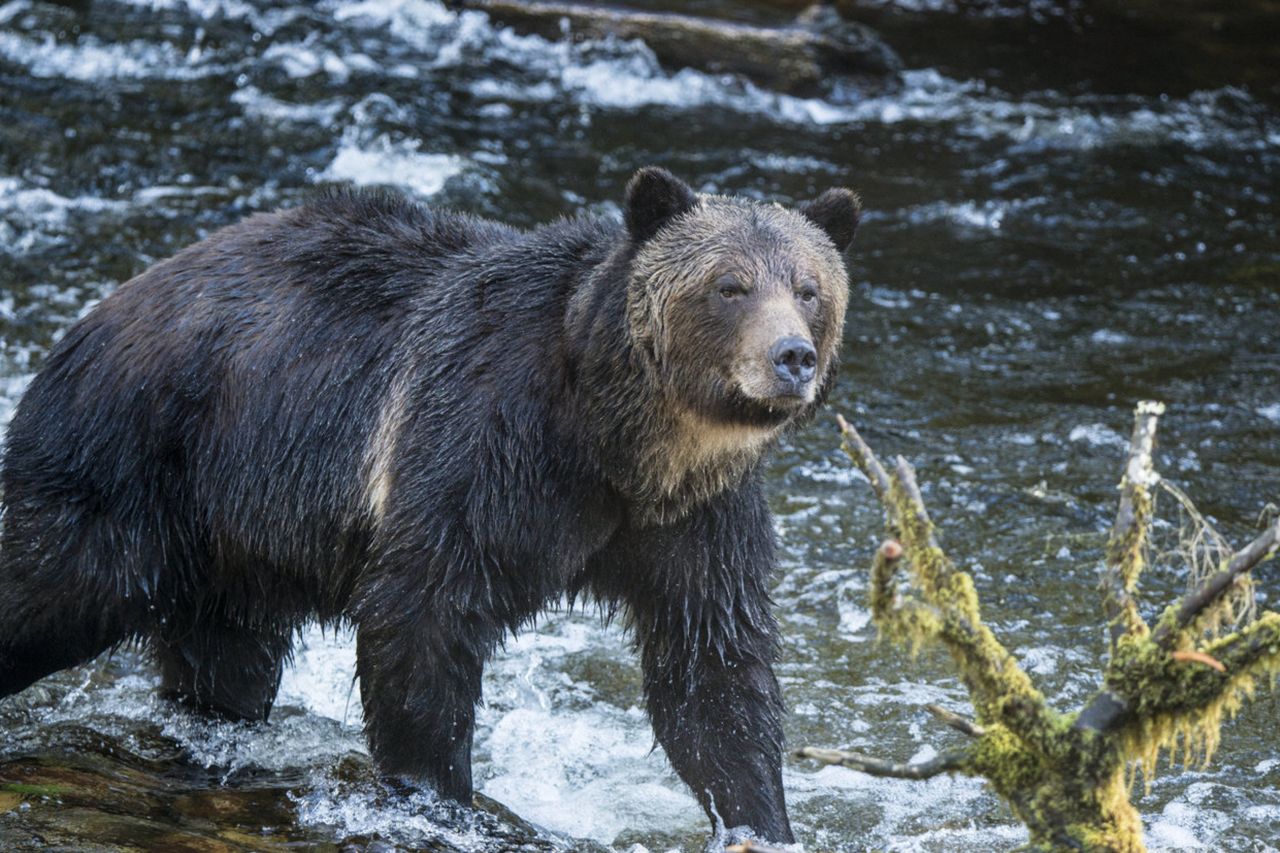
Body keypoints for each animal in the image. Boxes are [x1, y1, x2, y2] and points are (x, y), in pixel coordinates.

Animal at [2, 166, 860, 835]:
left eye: (809, 288)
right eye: (730, 285)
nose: (791, 356)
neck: (617, 437)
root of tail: (104, 307)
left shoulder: (696, 517)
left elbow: (711, 666)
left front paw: (759, 817)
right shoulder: (482, 442)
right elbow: (423, 615)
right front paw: (440, 796)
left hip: (235, 542)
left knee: (226, 664)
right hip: (132, 458)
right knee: (47, 578)